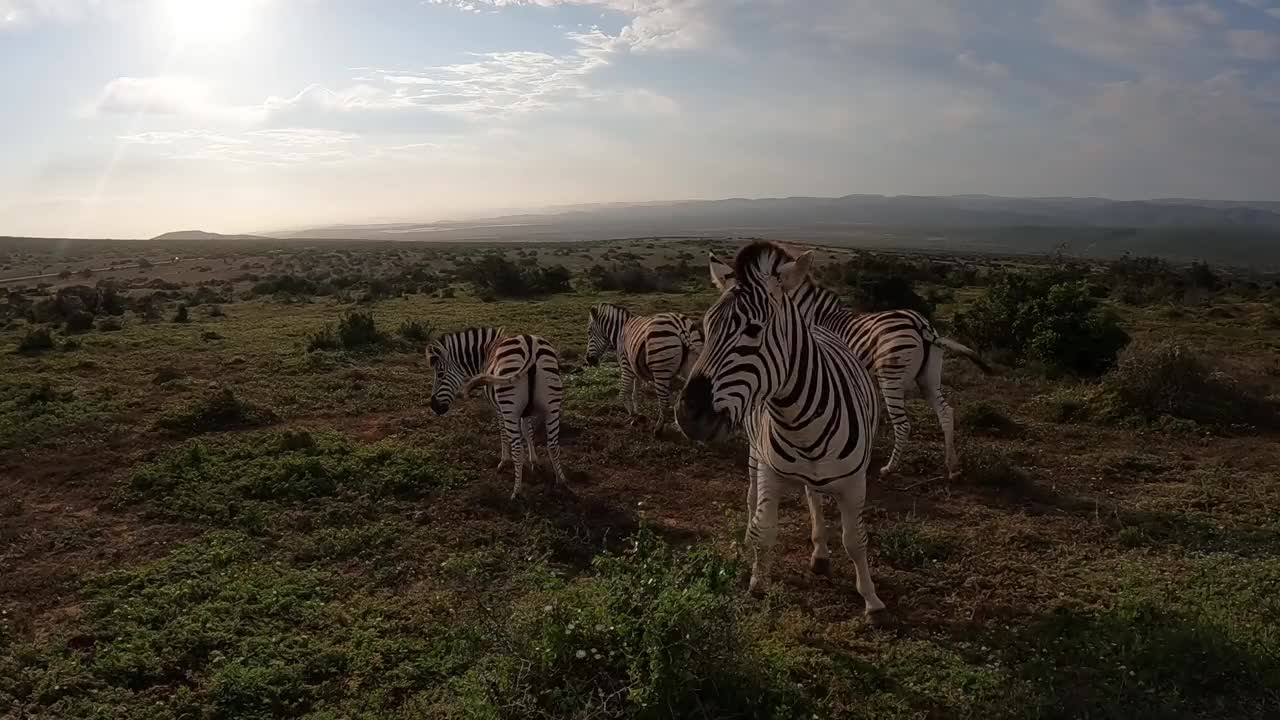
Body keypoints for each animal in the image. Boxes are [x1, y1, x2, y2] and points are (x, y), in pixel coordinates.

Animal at [427, 326, 568, 499]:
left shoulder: (499, 409)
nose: (434, 407)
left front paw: (504, 461)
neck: (487, 351)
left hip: (509, 407)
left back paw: (516, 491)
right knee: (553, 445)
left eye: (440, 374)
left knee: (517, 449)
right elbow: (528, 432)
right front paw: (534, 461)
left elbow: (503, 433)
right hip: (552, 406)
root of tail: (530, 345)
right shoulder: (525, 412)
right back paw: (561, 481)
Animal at [586, 301, 706, 430]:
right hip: (690, 363)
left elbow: (623, 394)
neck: (620, 331)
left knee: (663, 401)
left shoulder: (626, 366)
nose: (588, 360)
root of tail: (680, 325)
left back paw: (658, 428)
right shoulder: (636, 369)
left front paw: (632, 415)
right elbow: (635, 394)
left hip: (661, 370)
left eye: (589, 332)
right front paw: (638, 415)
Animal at [675, 242, 885, 622]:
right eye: (705, 328)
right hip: (754, 455)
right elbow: (765, 529)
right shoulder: (769, 472)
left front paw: (871, 600)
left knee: (814, 498)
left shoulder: (854, 482)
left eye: (754, 330)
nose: (688, 416)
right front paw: (758, 581)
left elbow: (855, 540)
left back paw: (820, 554)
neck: (800, 423)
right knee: (754, 499)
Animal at [711, 252, 988, 476]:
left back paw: (890, 468)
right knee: (946, 413)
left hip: (892, 377)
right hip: (929, 378)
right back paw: (952, 467)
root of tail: (922, 325)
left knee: (903, 424)